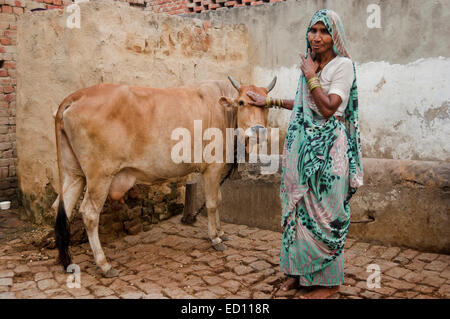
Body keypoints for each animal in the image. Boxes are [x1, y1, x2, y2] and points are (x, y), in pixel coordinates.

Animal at [54, 77, 276, 278]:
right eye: (242, 102)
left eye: (266, 105)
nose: (258, 131)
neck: (225, 113)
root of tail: (79, 95)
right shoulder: (212, 167)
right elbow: (212, 203)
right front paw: (215, 238)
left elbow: (219, 199)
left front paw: (221, 232)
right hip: (100, 175)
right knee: (89, 213)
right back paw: (104, 265)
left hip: (74, 174)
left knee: (63, 207)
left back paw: (66, 260)